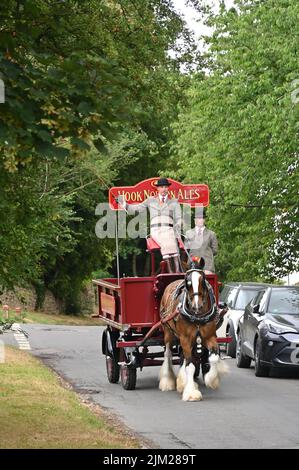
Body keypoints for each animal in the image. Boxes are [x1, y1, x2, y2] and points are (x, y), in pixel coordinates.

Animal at [159, 258, 227, 400]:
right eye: (187, 281)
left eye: (203, 279)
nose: (197, 305)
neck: (197, 316)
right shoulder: (185, 338)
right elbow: (190, 366)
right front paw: (191, 393)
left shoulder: (210, 336)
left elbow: (213, 357)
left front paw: (211, 379)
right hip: (168, 332)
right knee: (168, 353)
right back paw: (167, 381)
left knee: (184, 357)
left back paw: (182, 381)